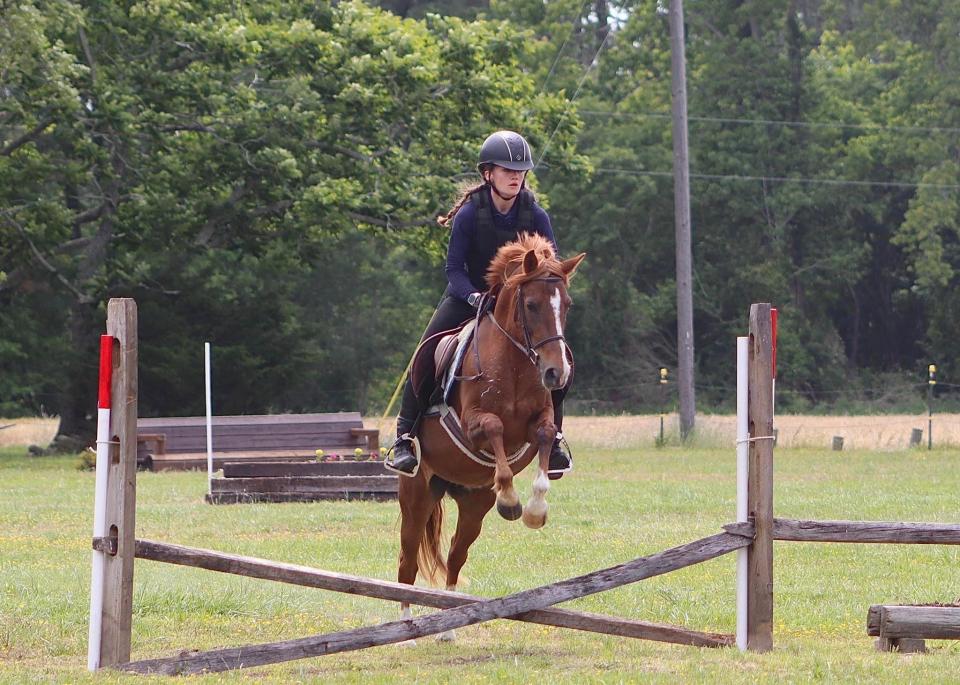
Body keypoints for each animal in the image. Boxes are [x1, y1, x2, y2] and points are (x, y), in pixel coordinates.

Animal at [398, 235, 584, 636]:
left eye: (567, 305)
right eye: (531, 305)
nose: (556, 373)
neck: (515, 363)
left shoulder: (538, 423)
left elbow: (546, 435)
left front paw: (533, 510)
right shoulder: (472, 424)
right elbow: (495, 427)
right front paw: (511, 500)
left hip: (474, 502)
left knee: (456, 555)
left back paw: (447, 629)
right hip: (416, 494)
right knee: (407, 560)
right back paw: (404, 627)